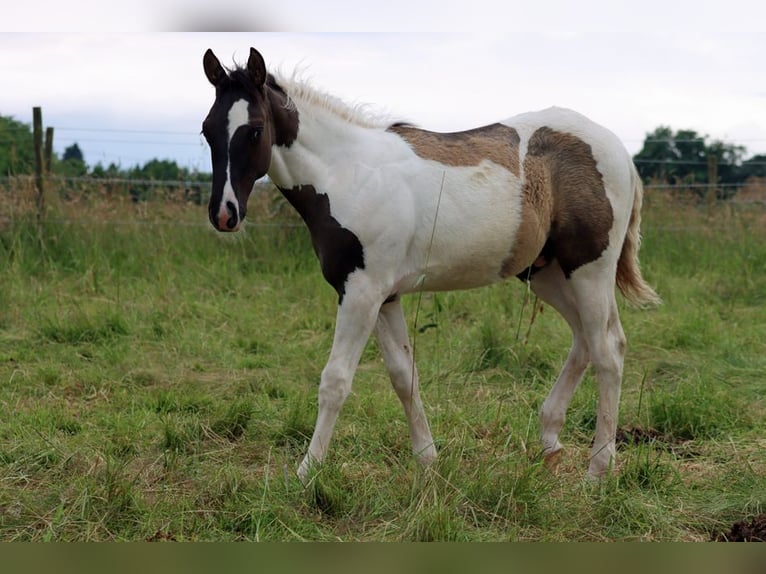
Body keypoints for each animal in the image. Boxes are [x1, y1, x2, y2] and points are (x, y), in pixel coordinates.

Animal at [202, 47, 660, 484]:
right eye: (207, 131)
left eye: (255, 130)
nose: (224, 214)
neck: (347, 175)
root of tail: (620, 151)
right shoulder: (385, 296)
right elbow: (403, 375)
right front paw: (427, 461)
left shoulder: (361, 292)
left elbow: (335, 380)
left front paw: (306, 472)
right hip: (547, 273)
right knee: (585, 339)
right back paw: (550, 442)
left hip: (589, 271)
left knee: (607, 349)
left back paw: (598, 471)